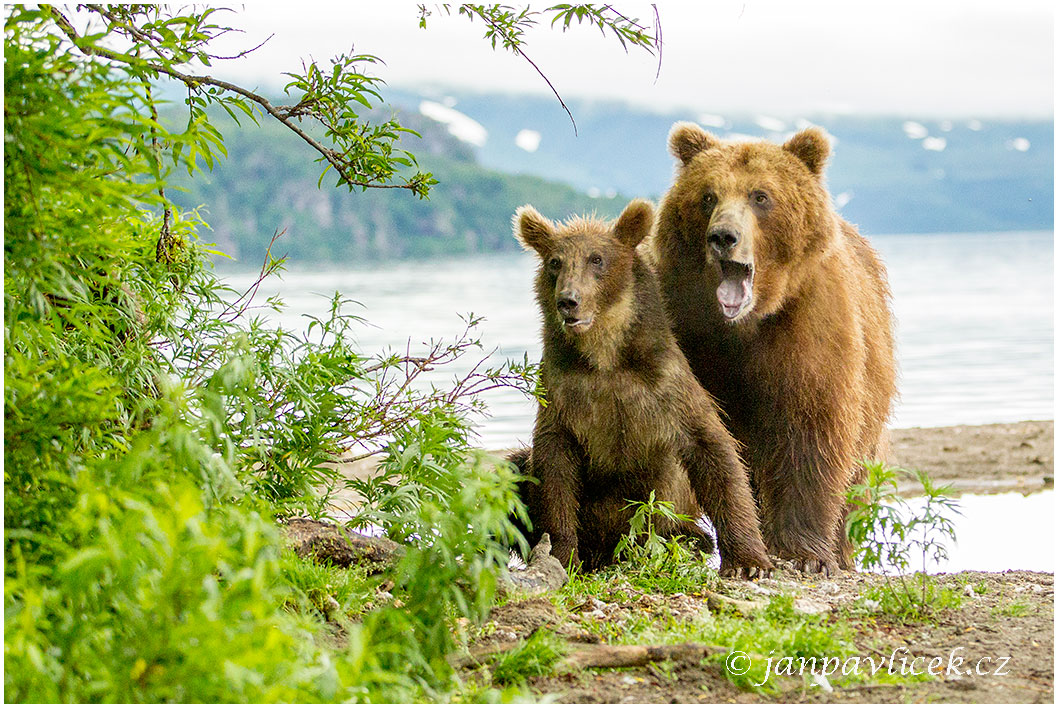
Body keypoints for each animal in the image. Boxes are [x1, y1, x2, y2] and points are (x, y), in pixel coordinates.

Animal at [509, 198, 770, 575]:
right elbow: (553, 469)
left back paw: (694, 540)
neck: (605, 357)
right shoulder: (562, 392)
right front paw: (562, 553)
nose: (568, 300)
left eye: (597, 259)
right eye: (555, 262)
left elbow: (714, 450)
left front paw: (749, 561)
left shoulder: (666, 386)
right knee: (515, 465)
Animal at [651, 123, 892, 575]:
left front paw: (803, 554)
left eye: (760, 196)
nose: (723, 237)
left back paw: (840, 553)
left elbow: (809, 434)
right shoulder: (690, 330)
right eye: (707, 196)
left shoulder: (808, 328)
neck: (744, 326)